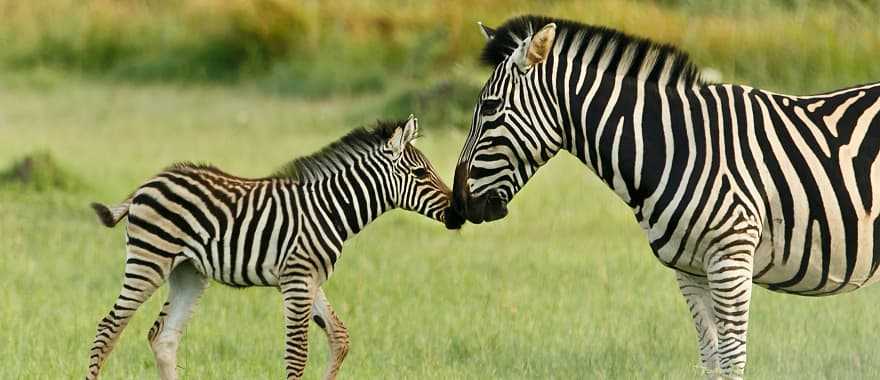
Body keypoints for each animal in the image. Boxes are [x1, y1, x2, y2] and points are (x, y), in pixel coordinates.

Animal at [86, 116, 464, 380]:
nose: (459, 212)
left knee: (164, 337)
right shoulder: (296, 279)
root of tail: (148, 183)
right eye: (420, 173)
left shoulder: (310, 279)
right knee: (108, 328)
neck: (329, 209)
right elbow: (298, 354)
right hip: (148, 260)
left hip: (188, 272)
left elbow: (339, 337)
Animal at [450, 14, 880, 378]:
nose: (458, 206)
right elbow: (710, 358)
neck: (674, 145)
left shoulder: (731, 257)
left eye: (489, 108)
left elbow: (732, 359)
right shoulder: (689, 270)